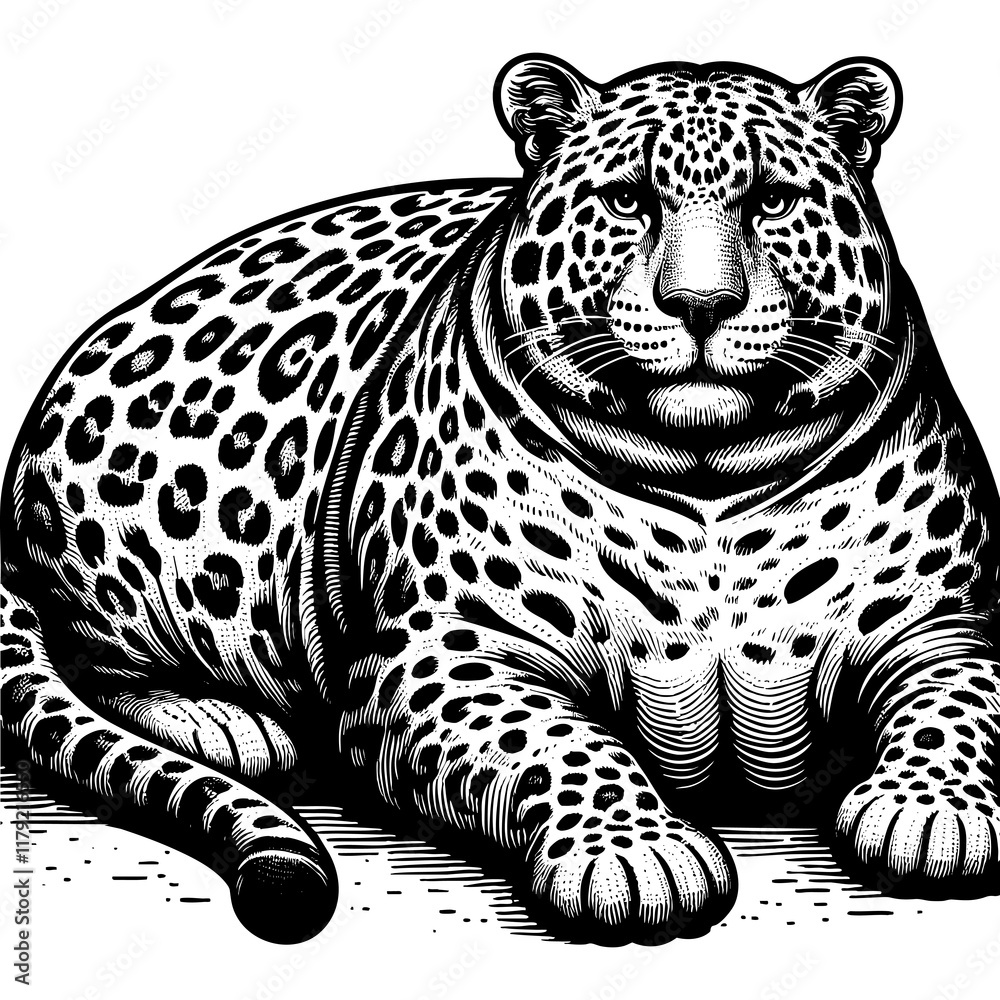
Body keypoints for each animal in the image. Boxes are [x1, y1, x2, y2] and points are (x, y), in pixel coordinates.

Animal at [3, 53, 999, 946]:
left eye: (774, 203)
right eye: (629, 202)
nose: (701, 304)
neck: (708, 476)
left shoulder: (945, 624)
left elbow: (961, 704)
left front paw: (932, 812)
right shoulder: (444, 652)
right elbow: (562, 742)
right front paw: (636, 856)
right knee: (97, 654)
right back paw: (224, 723)